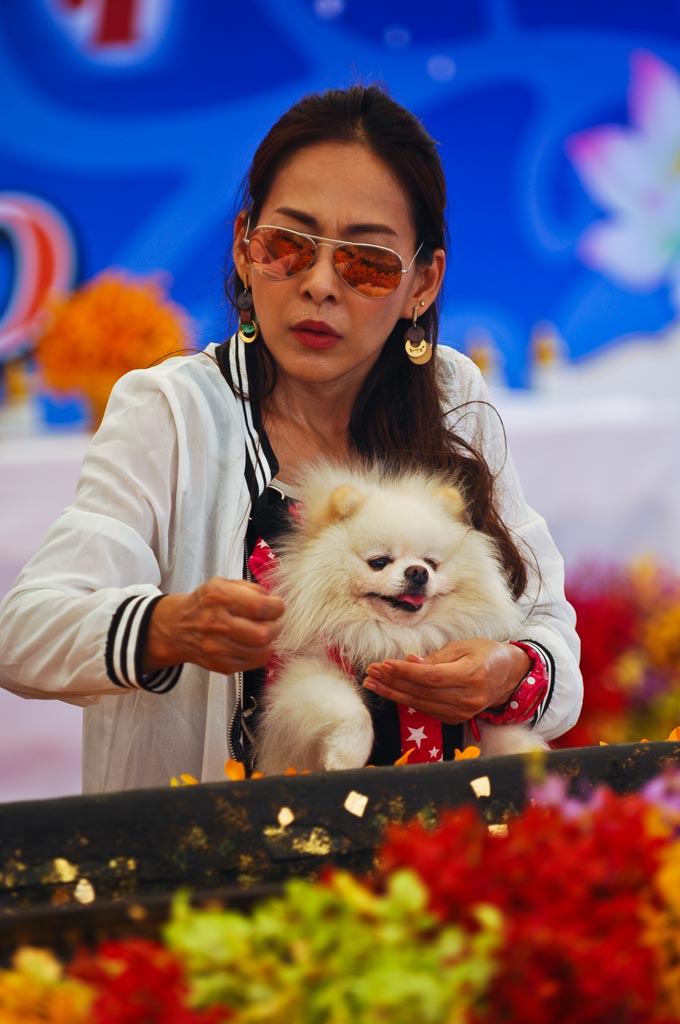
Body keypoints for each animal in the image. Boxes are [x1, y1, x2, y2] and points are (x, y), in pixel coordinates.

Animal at [255, 464, 548, 774]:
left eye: (431, 563)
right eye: (379, 562)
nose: (418, 572)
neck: (395, 636)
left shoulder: (474, 722)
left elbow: (506, 737)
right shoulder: (301, 678)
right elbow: (351, 710)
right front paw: (345, 756)